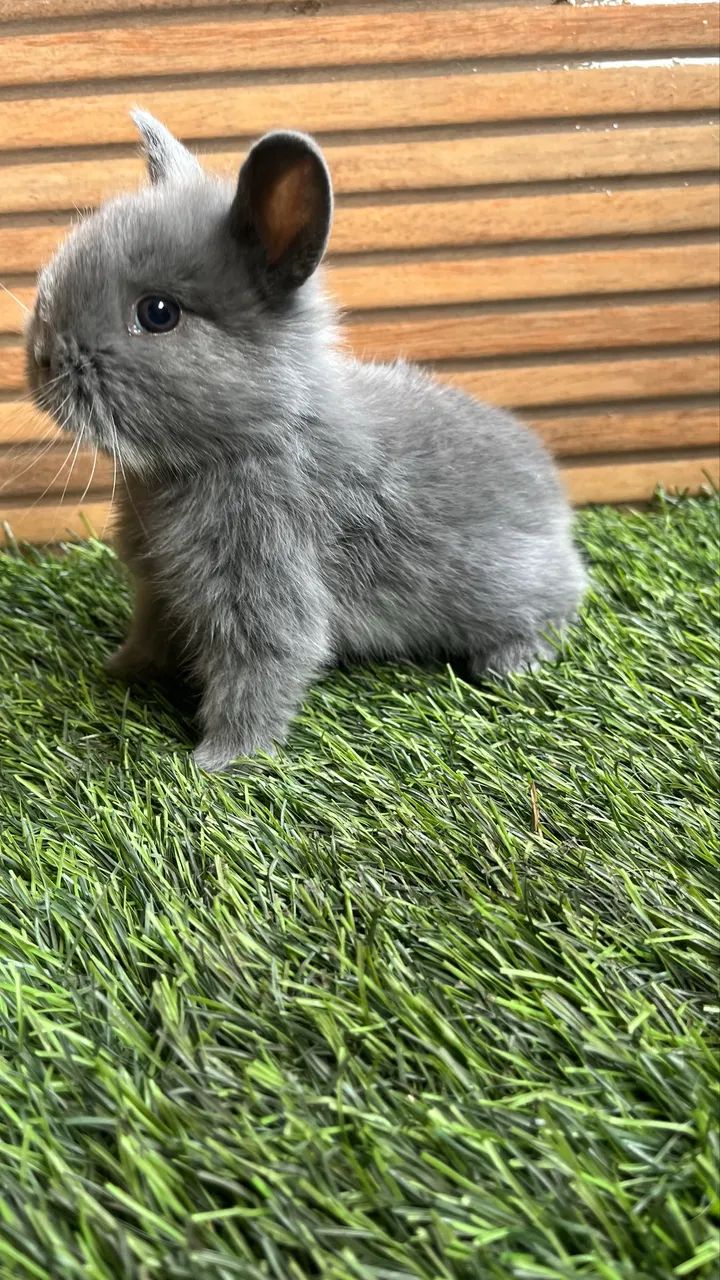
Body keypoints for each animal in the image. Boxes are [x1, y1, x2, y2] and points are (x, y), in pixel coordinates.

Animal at [26, 111, 586, 772]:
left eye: (158, 312)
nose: (42, 359)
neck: (254, 436)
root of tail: (557, 508)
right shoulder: (159, 593)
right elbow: (151, 636)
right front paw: (116, 670)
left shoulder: (267, 586)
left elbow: (260, 673)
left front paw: (216, 763)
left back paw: (508, 662)